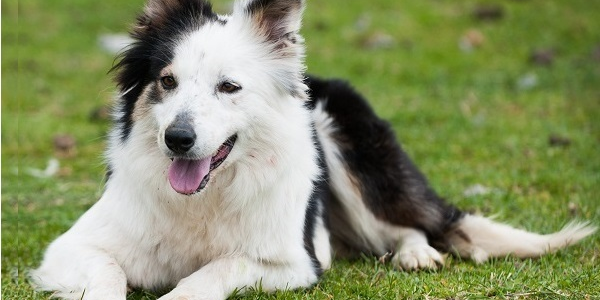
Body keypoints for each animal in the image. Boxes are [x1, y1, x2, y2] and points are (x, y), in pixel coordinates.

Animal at [31, 0, 596, 300]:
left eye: (228, 87)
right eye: (167, 81)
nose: (178, 139)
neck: (206, 198)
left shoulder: (292, 263)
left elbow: (217, 268)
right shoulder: (71, 248)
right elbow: (108, 272)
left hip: (346, 144)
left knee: (408, 222)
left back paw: (415, 253)